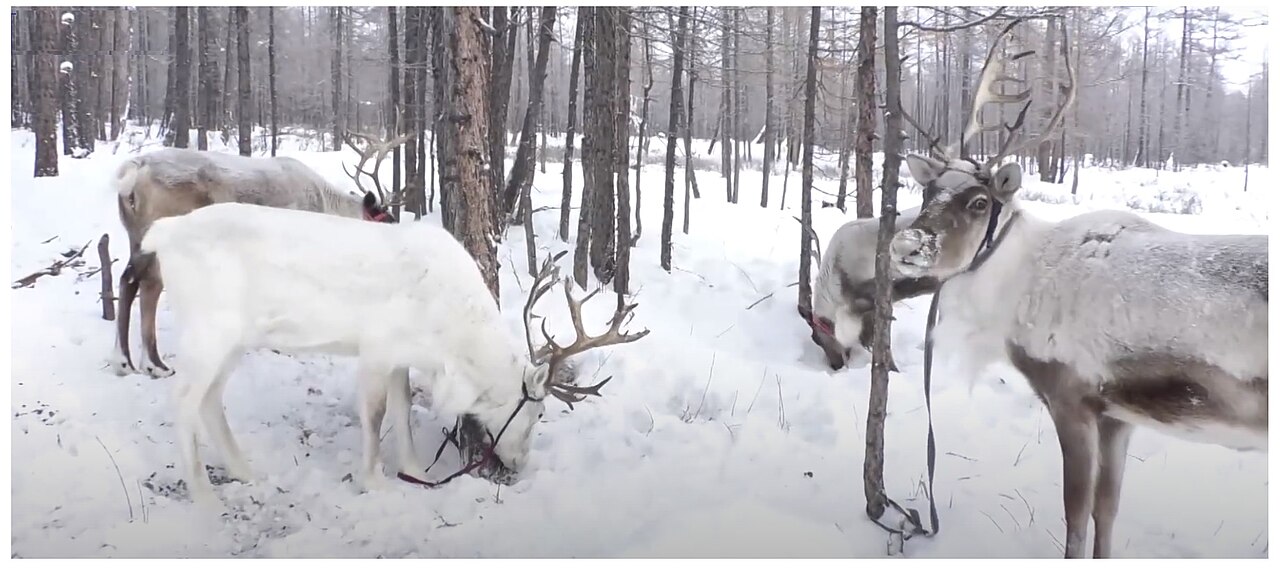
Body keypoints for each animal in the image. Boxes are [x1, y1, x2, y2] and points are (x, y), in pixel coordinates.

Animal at [109, 133, 406, 379]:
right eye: (386, 221)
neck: (328, 208)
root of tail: (132, 172)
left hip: (136, 236)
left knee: (130, 281)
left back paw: (129, 362)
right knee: (147, 285)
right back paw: (150, 364)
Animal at [133, 200, 648, 505]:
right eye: (539, 414)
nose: (520, 466)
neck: (447, 344)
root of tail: (160, 232)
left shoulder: (403, 355)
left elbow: (402, 411)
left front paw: (414, 470)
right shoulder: (377, 348)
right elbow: (377, 412)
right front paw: (374, 479)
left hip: (233, 340)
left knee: (209, 400)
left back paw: (244, 472)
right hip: (208, 330)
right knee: (182, 400)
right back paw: (202, 491)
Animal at [886, 19, 1267, 558]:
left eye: (980, 202)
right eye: (928, 191)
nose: (906, 244)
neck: (1018, 286)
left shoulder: (1071, 396)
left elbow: (1075, 515)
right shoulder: (1118, 416)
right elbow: (1106, 510)